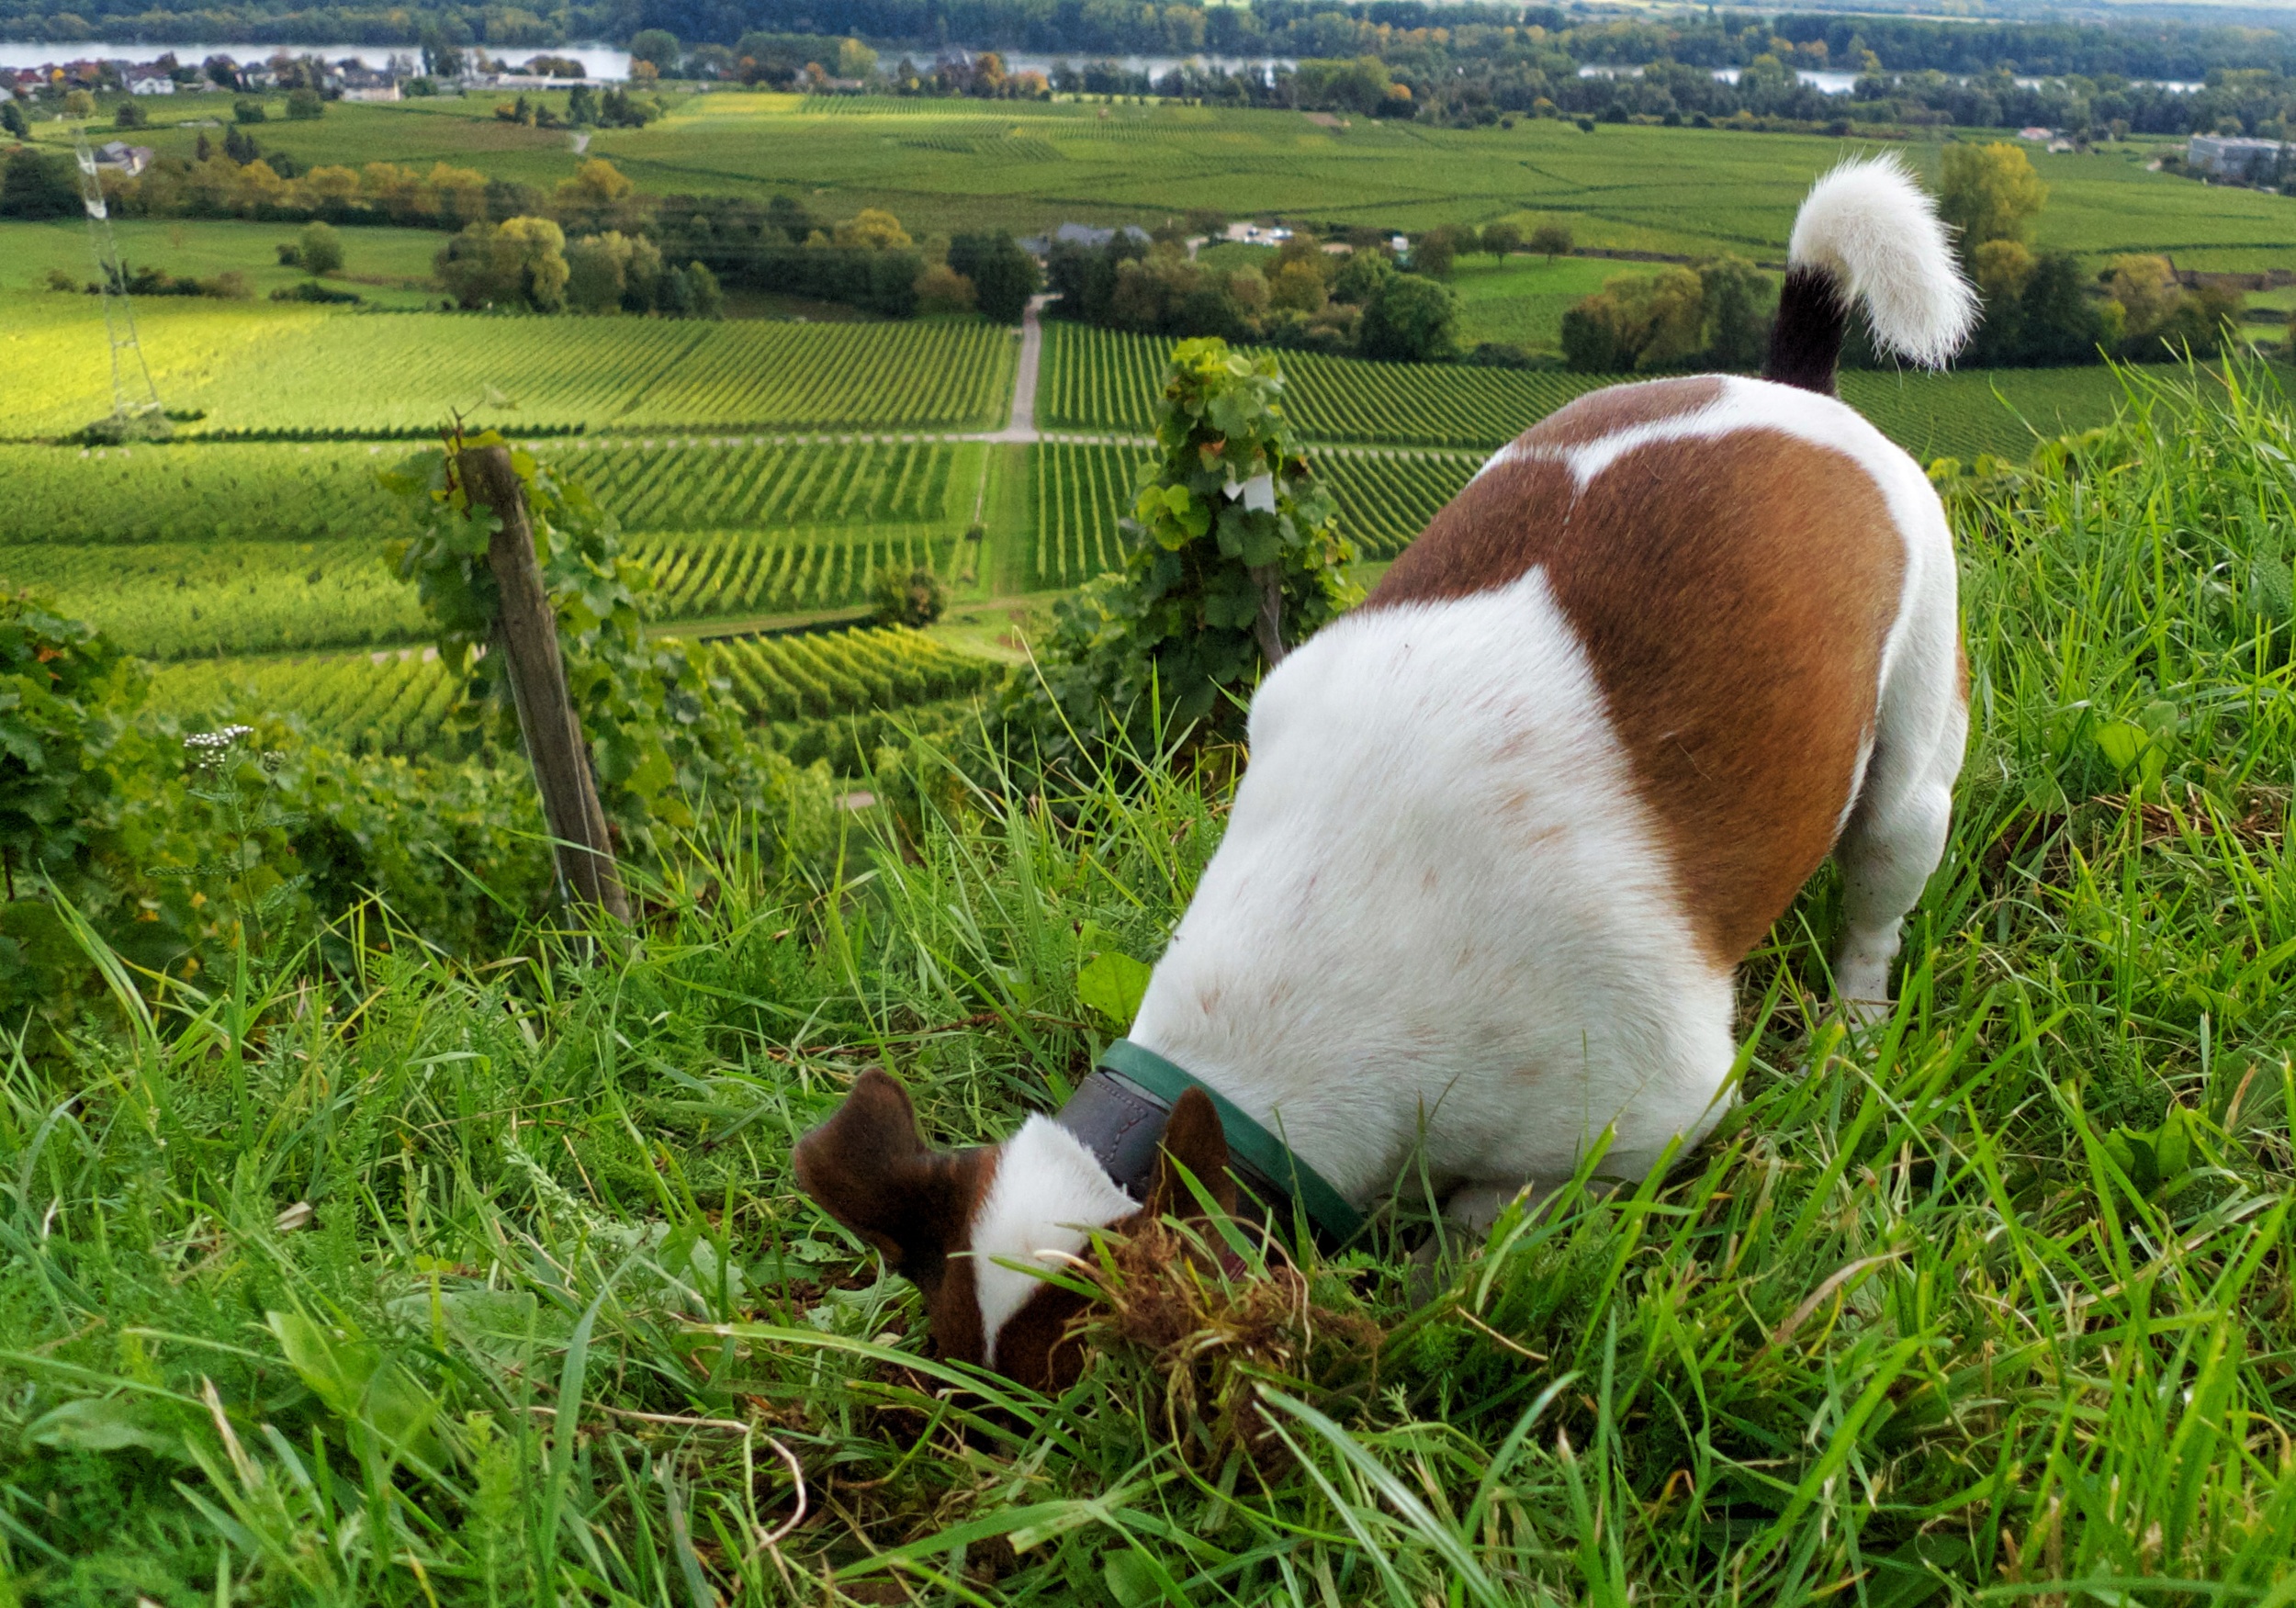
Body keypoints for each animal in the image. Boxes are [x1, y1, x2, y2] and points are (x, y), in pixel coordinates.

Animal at [794, 157, 1975, 1387]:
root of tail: (1795, 387)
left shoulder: (1653, 1111)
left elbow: (1493, 1212)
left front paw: (1439, 1273)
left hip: (1911, 765)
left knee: (1877, 894)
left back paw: (1856, 1021)